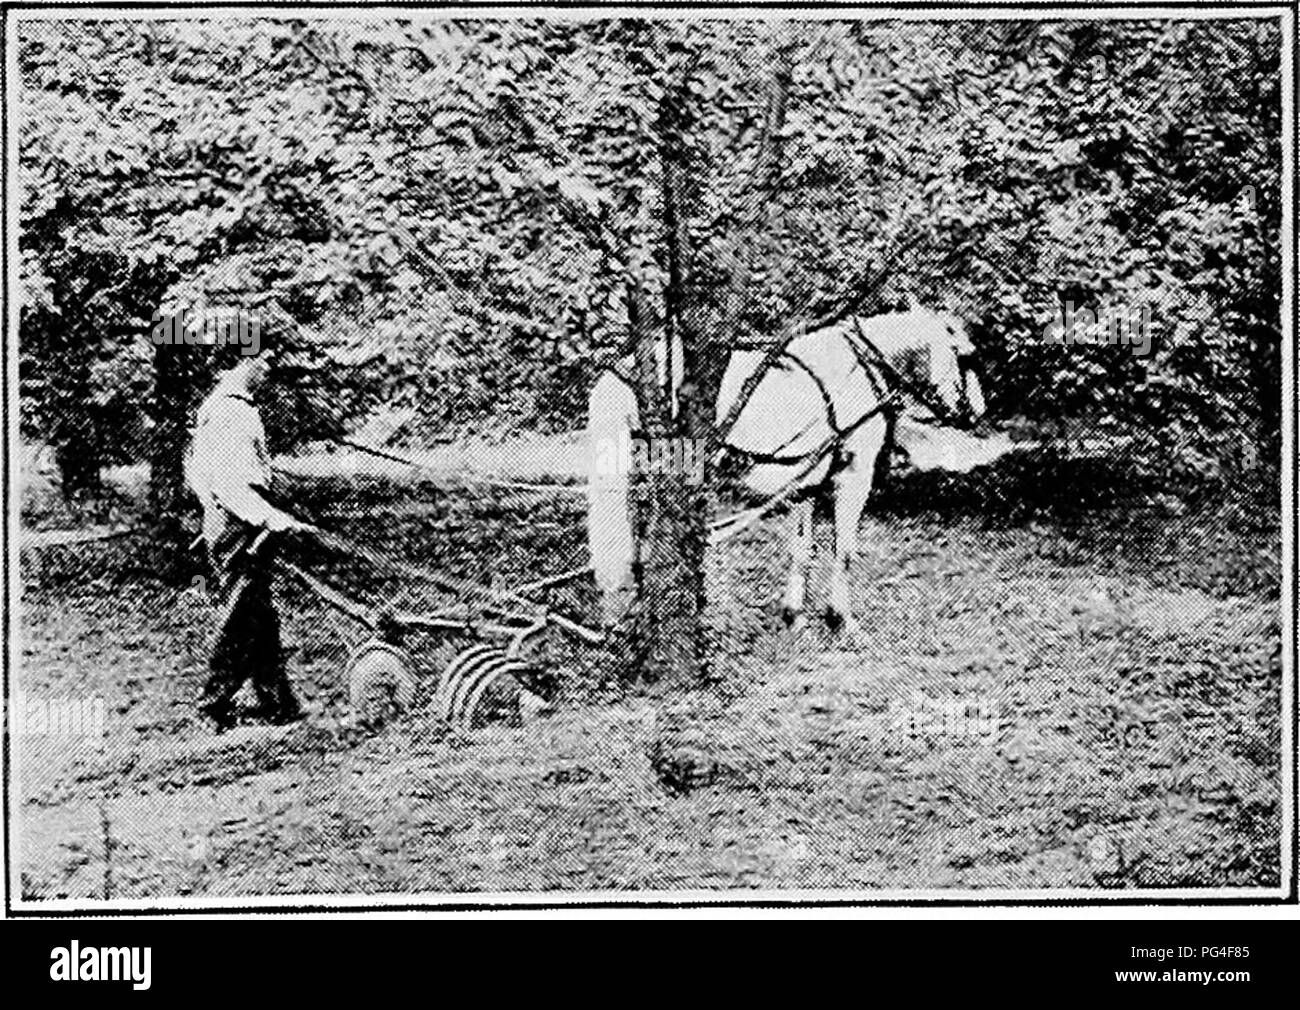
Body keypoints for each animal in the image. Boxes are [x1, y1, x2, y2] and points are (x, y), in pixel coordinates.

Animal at [587, 302, 982, 626]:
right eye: (964, 356)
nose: (977, 412)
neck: (862, 365)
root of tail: (625, 372)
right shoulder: (855, 473)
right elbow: (844, 548)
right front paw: (839, 616)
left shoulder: (806, 481)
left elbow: (801, 548)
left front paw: (793, 612)